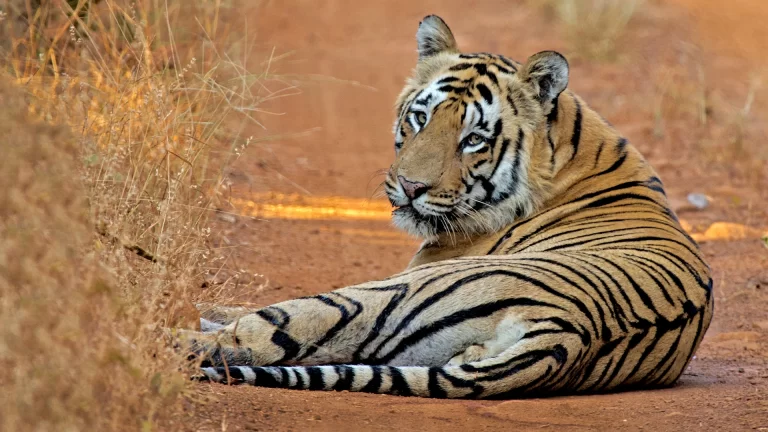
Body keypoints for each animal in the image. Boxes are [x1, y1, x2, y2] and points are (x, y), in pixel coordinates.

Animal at [180, 15, 712, 400]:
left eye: (474, 139)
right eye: (420, 117)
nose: (410, 186)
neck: (568, 148)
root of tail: (569, 335)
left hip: (380, 295)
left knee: (263, 334)